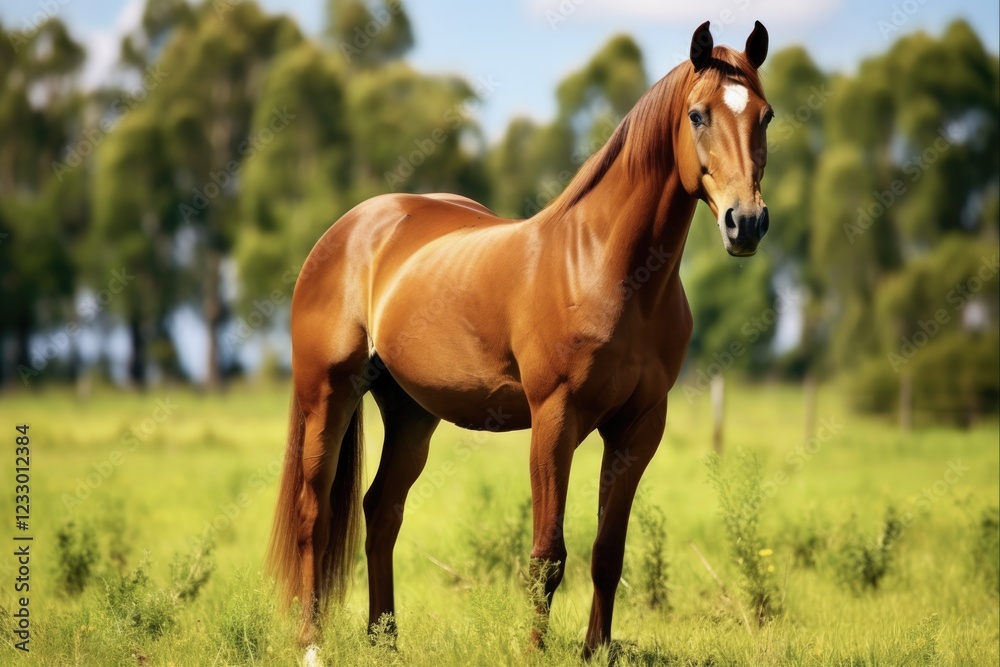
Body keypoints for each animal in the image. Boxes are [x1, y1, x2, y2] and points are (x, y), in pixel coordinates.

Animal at [267, 19, 772, 658]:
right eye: (698, 115)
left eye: (766, 116)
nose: (746, 222)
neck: (608, 268)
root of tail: (348, 228)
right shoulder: (554, 419)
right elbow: (547, 556)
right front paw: (535, 649)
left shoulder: (638, 428)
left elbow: (608, 554)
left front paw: (594, 651)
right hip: (327, 395)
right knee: (315, 513)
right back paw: (311, 643)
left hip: (411, 414)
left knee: (382, 512)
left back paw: (386, 642)